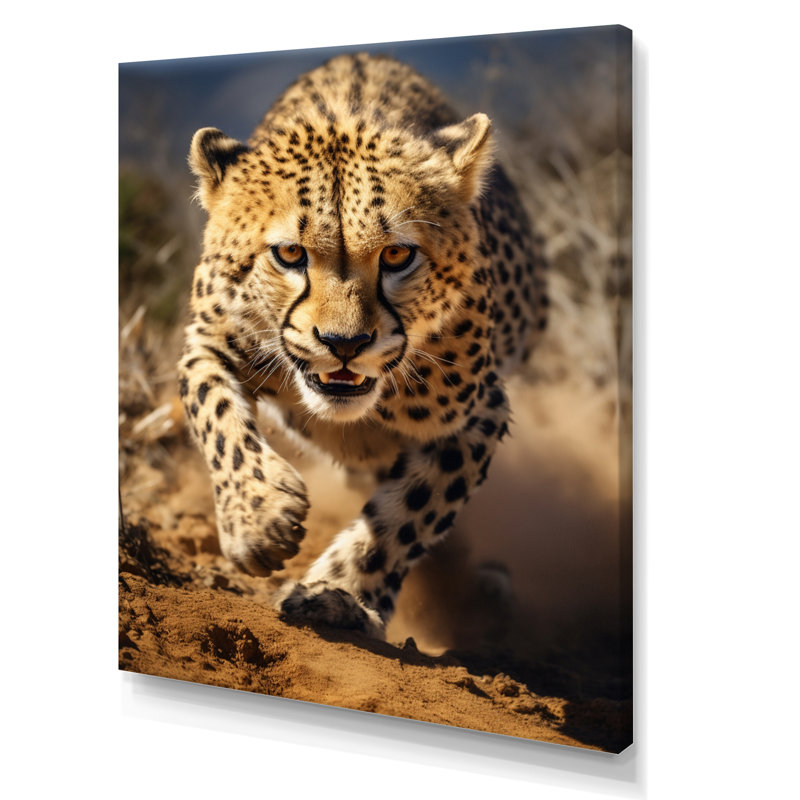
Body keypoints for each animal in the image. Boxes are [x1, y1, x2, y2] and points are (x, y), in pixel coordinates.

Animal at [178, 53, 548, 638]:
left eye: (397, 255)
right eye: (289, 254)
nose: (343, 343)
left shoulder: (478, 414)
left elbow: (409, 513)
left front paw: (338, 592)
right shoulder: (208, 340)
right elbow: (213, 410)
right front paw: (256, 517)